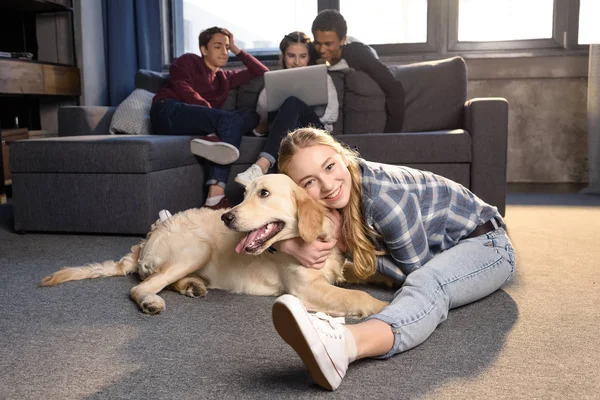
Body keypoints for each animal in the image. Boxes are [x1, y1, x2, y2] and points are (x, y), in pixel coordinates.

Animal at [42, 173, 390, 318]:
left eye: (263, 193)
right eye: (245, 194)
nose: (226, 216)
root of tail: (145, 240)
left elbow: (365, 273)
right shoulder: (305, 289)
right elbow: (358, 296)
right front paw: (385, 307)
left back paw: (192, 285)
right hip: (198, 249)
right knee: (141, 287)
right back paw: (153, 301)